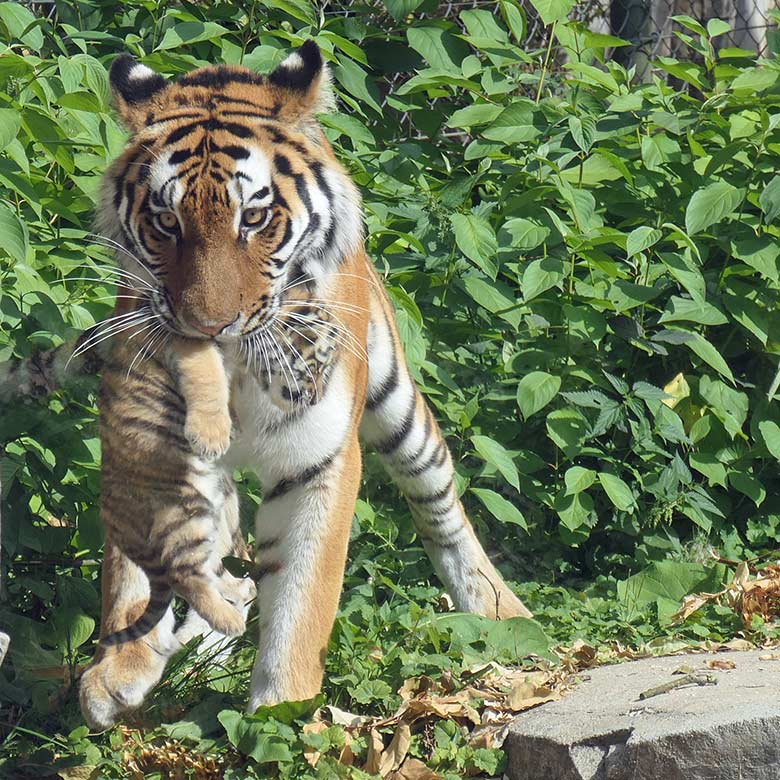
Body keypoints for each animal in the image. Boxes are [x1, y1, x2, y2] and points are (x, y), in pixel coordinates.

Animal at [3, 40, 532, 729]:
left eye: (254, 218)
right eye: (165, 222)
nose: (208, 324)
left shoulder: (320, 459)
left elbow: (303, 597)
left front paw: (282, 711)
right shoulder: (148, 446)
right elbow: (136, 568)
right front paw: (118, 669)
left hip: (398, 406)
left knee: (439, 502)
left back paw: (503, 614)